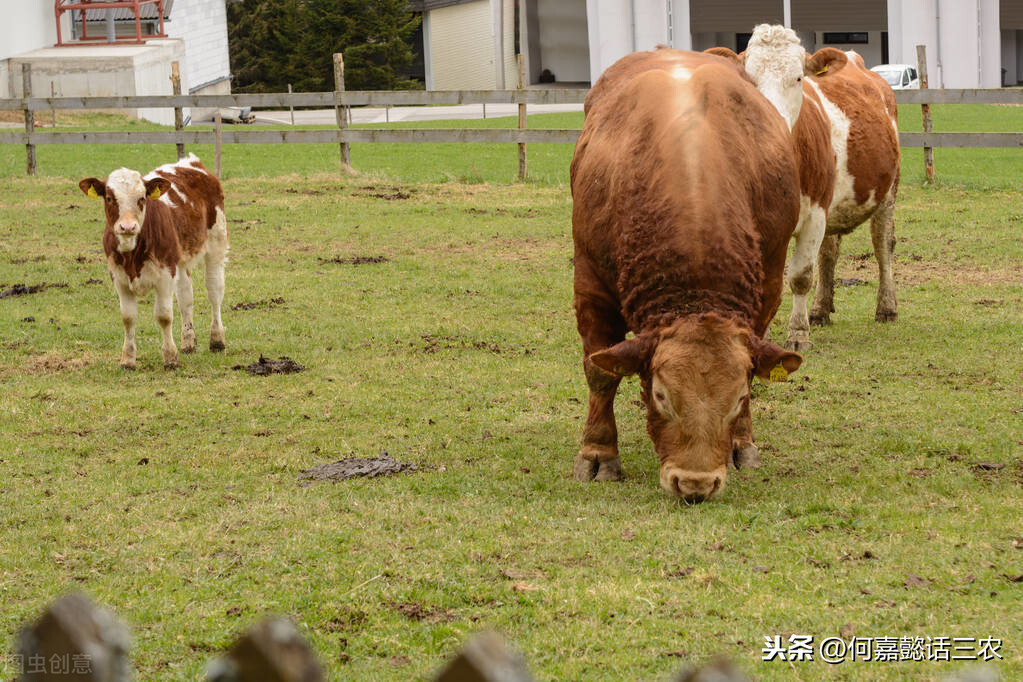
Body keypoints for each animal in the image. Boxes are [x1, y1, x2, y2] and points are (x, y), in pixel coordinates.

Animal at [81, 154, 230, 368]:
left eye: (142, 198)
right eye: (109, 198)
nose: (128, 227)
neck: (132, 255)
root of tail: (191, 163)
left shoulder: (165, 275)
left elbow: (164, 316)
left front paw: (170, 358)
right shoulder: (119, 277)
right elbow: (128, 317)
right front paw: (128, 359)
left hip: (216, 244)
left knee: (214, 291)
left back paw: (217, 340)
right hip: (180, 260)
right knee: (186, 296)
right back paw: (188, 342)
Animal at [572, 48, 802, 501]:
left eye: (739, 397)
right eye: (661, 395)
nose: (695, 483)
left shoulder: (767, 285)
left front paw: (742, 443)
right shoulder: (591, 287)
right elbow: (600, 373)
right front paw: (598, 453)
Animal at [707, 24, 900, 349]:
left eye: (798, 78)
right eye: (748, 79)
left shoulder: (815, 215)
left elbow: (800, 276)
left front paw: (798, 334)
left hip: (886, 195)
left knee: (882, 245)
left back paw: (886, 307)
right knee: (829, 252)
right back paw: (821, 309)